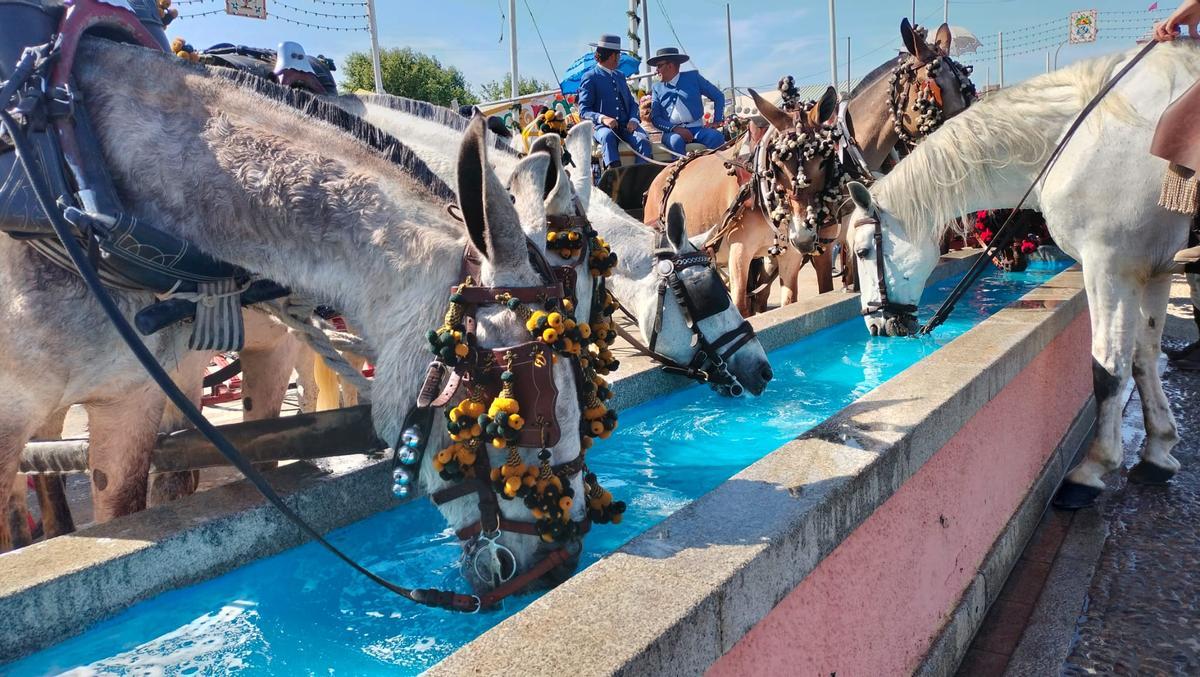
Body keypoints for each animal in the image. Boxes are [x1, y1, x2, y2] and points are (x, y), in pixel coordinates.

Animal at [643, 85, 840, 316]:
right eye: (778, 166)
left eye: (823, 162)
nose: (804, 238)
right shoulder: (739, 252)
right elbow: (740, 306)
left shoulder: (790, 255)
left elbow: (790, 303)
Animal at [844, 42, 1200, 508]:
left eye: (864, 251)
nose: (877, 326)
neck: (1075, 141)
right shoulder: (1154, 267)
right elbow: (1143, 356)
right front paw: (1158, 448)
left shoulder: (1110, 264)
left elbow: (1108, 367)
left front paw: (1094, 468)